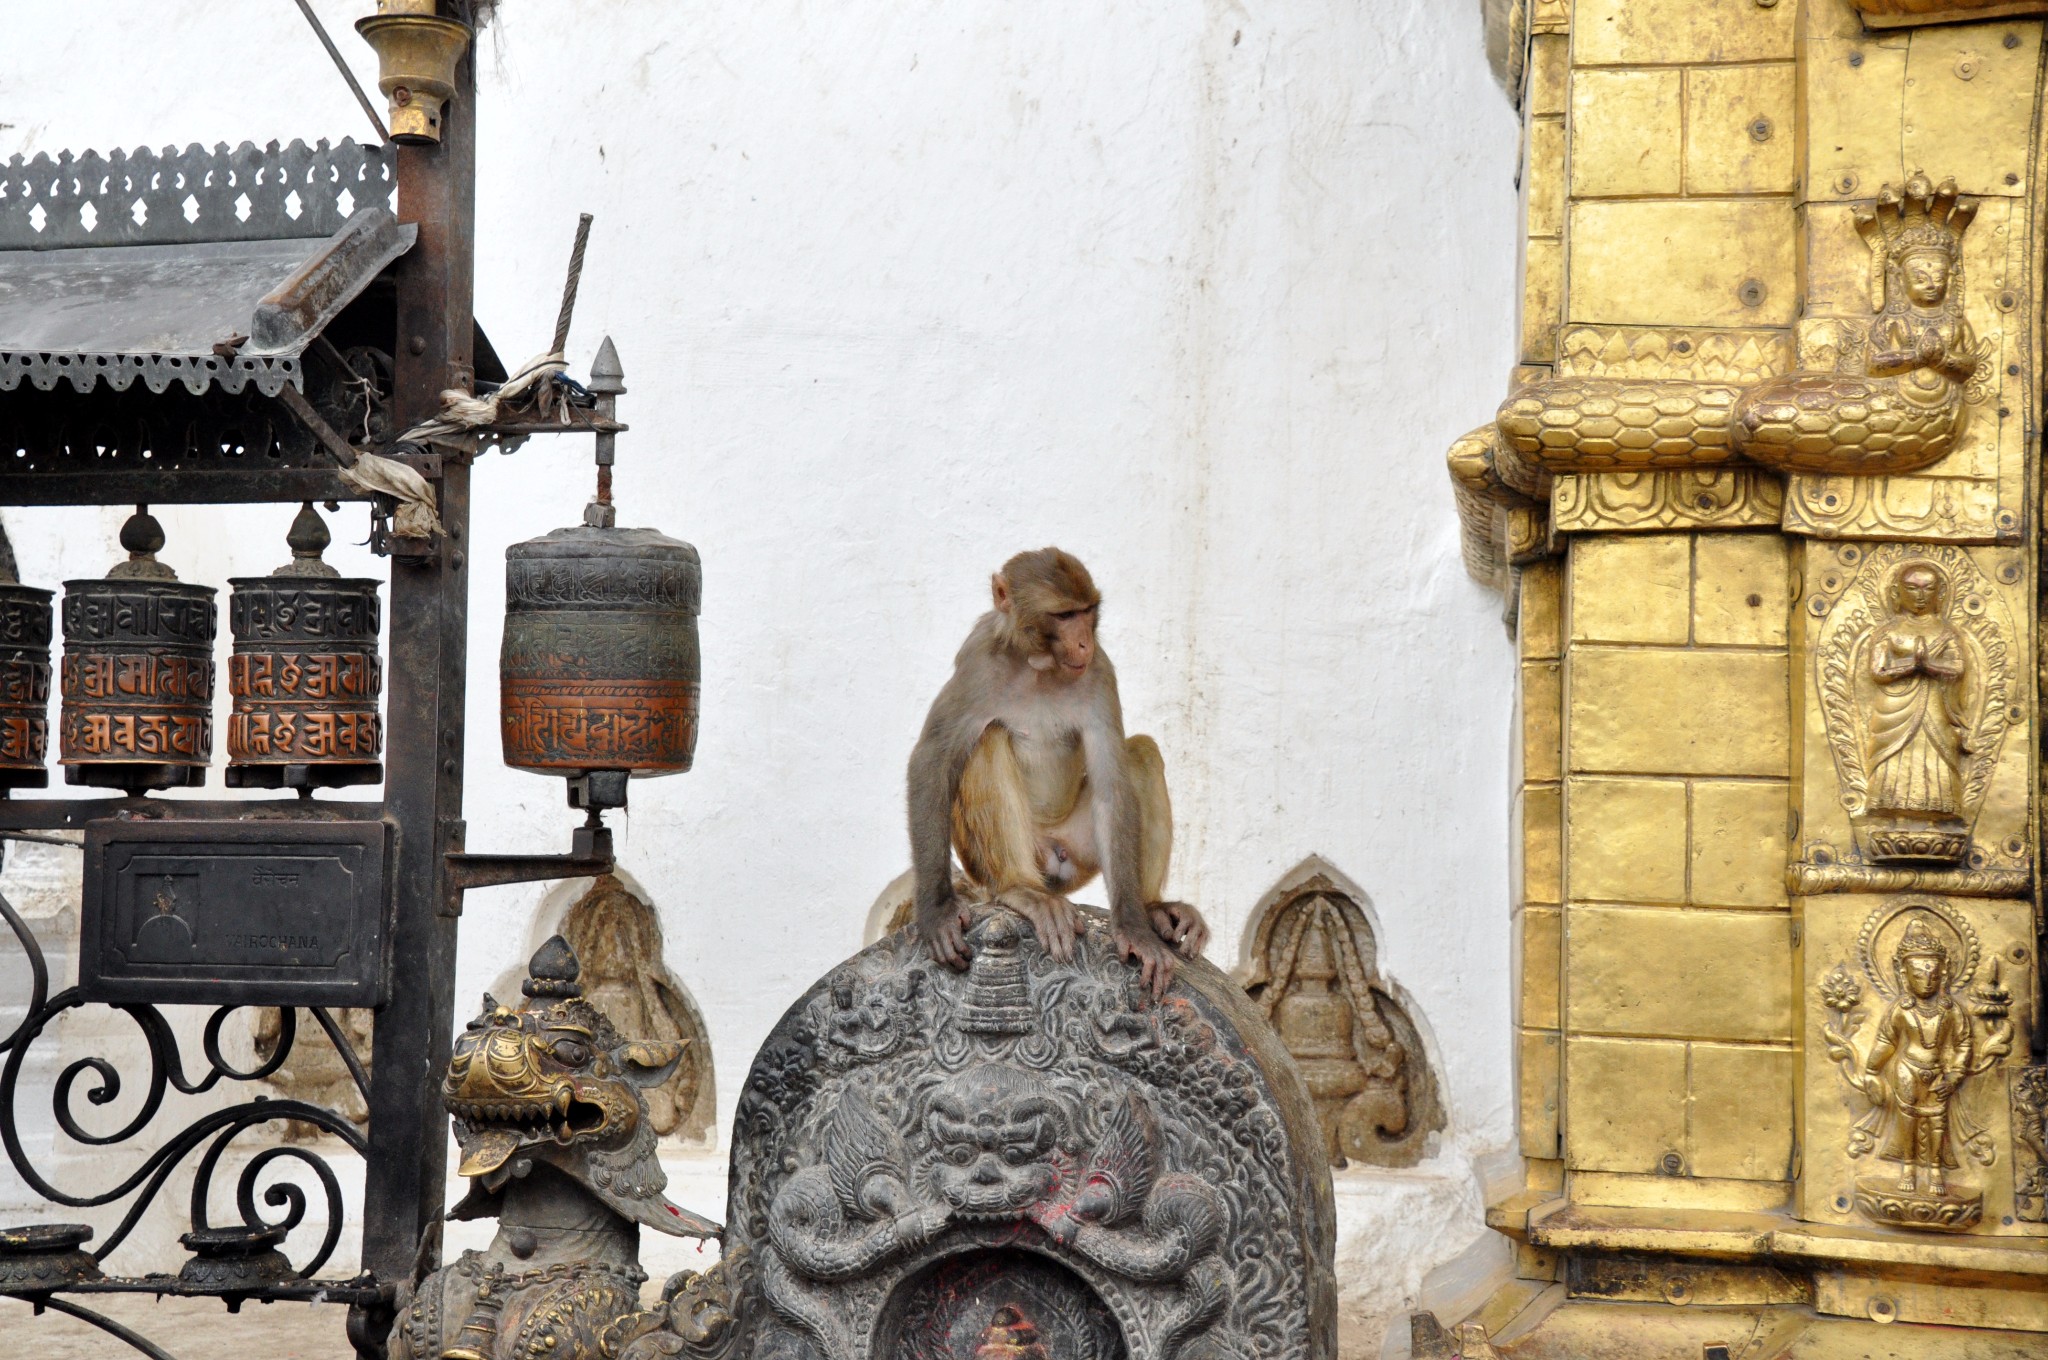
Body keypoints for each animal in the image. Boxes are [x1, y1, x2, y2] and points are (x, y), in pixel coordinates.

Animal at [905, 544, 1204, 999]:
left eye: (1087, 611)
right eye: (1063, 616)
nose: (1083, 641)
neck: (1038, 665)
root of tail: (1052, 853)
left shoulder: (1099, 671)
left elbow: (1113, 785)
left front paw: (1134, 928)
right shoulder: (976, 661)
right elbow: (933, 759)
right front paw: (936, 910)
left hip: (1079, 850)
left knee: (1141, 754)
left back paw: (1153, 907)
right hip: (999, 860)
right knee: (988, 739)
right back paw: (1021, 889)